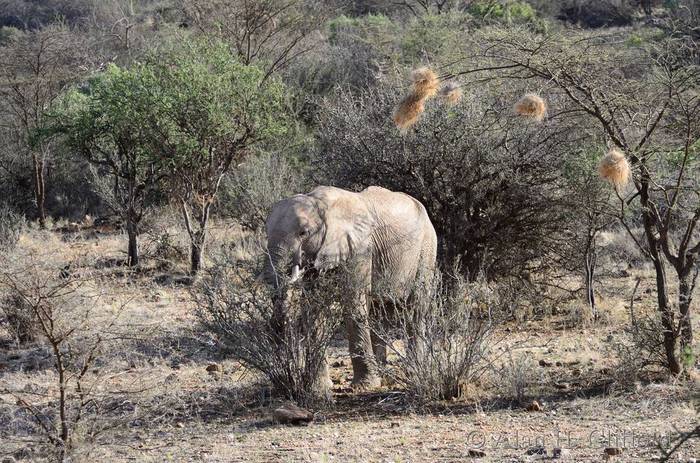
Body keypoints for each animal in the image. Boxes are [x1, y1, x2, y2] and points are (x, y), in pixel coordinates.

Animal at [264, 185, 437, 389]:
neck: (322, 205)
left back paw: (414, 373)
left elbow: (354, 306)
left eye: (303, 233)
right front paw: (321, 388)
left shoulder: (360, 249)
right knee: (379, 313)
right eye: (265, 233)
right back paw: (384, 376)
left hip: (427, 248)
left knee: (417, 308)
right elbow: (314, 312)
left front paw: (365, 386)